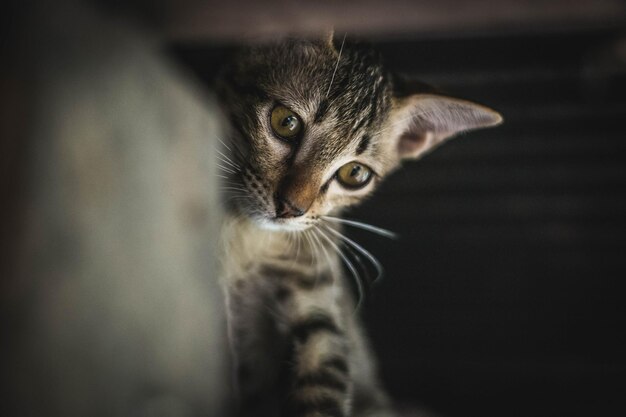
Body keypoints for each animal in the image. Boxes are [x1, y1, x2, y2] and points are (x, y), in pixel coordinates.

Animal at [212, 33, 500, 416]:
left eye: (354, 174)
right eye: (285, 122)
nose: (290, 208)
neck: (253, 237)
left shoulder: (318, 292)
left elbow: (323, 373)